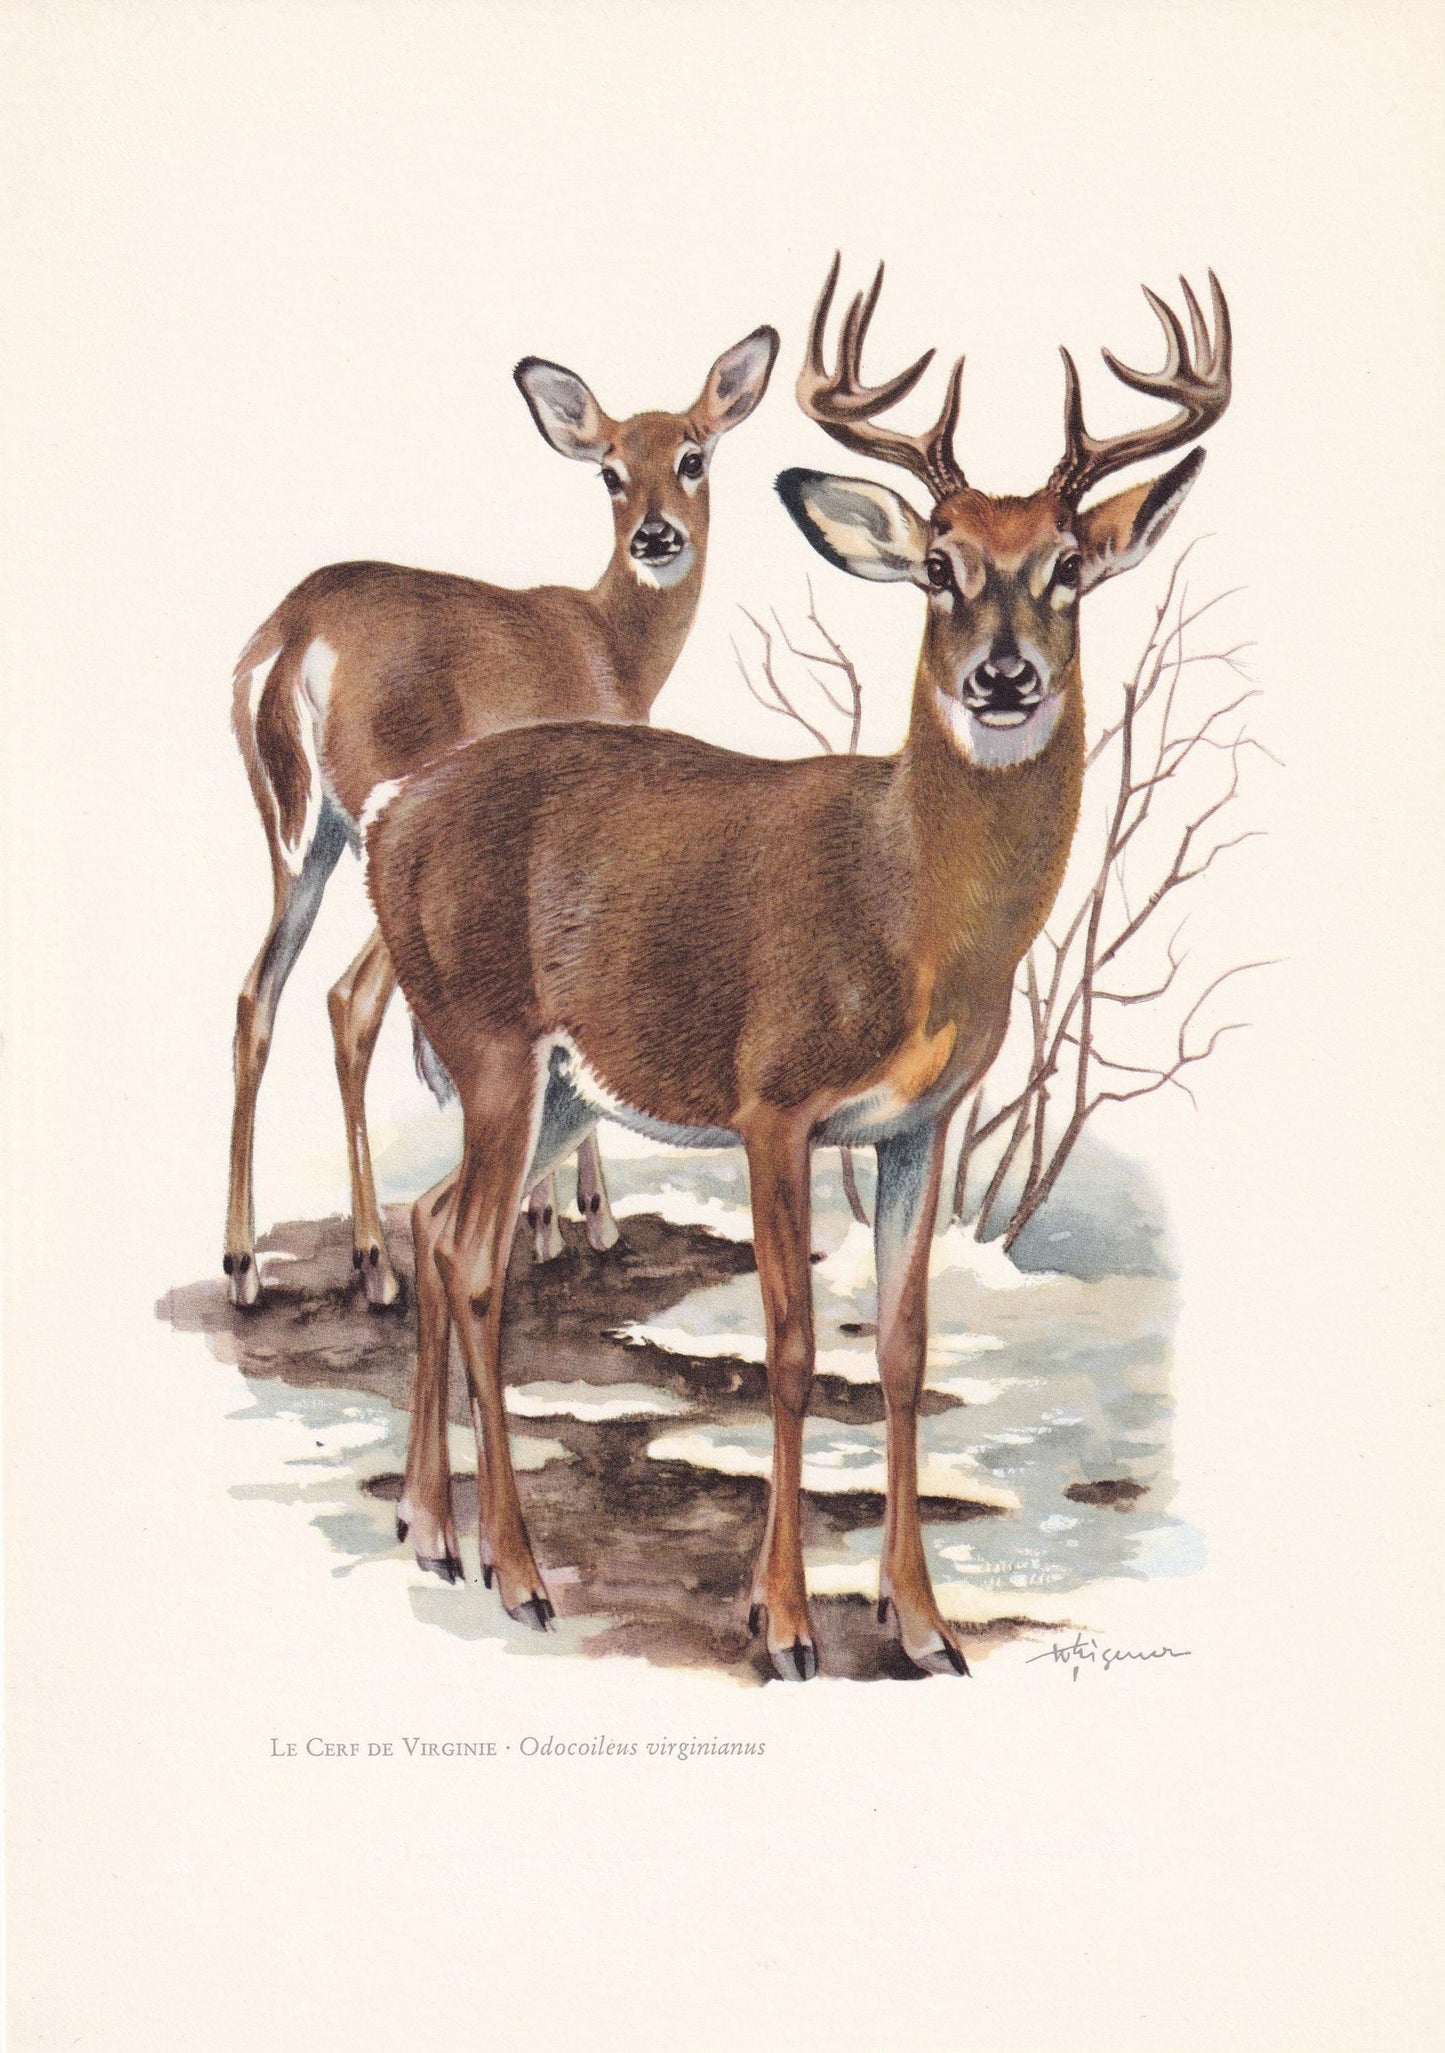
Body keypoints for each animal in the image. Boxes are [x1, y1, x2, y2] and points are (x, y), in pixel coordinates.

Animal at [223, 322, 780, 1308]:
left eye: (692, 455)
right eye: (609, 472)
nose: (656, 535)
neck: (612, 647)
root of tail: (291, 639)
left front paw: (545, 1217)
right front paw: (586, 1218)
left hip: (300, 842)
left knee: (258, 995)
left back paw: (243, 1264)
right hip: (385, 826)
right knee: (347, 999)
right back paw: (374, 1262)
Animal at [363, 257, 1231, 1678]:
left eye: (1066, 569)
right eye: (935, 564)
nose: (1001, 675)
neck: (904, 911)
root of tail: (389, 817)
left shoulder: (919, 1122)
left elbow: (900, 1348)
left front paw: (921, 1621)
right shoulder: (772, 1099)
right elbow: (785, 1344)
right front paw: (780, 1622)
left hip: (563, 1089)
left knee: (433, 1224)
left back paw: (432, 1532)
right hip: (490, 1038)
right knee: (480, 1259)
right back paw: (519, 1573)